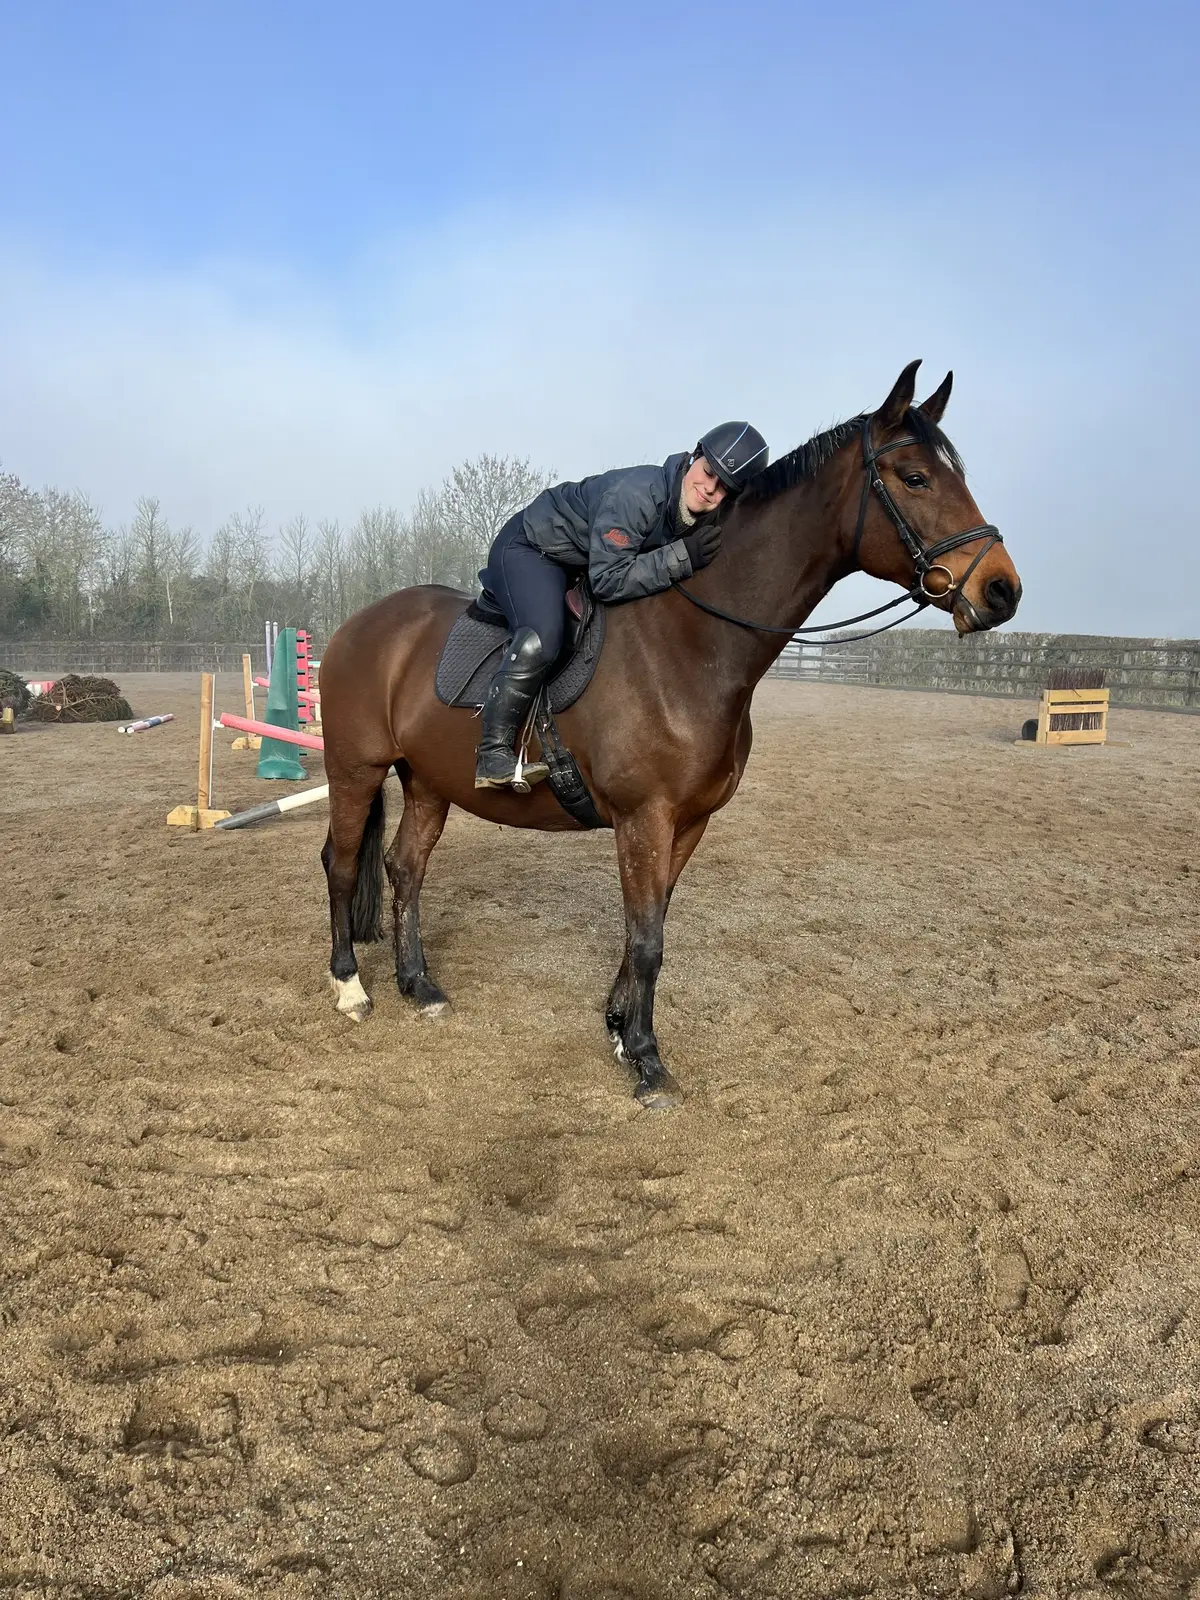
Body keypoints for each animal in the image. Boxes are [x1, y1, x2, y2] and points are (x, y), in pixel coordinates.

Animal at [316, 363, 1024, 1107]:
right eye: (915, 477)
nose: (1003, 590)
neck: (692, 645)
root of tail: (361, 624)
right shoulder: (643, 819)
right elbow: (647, 939)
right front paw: (650, 1062)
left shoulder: (687, 822)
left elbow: (647, 930)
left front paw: (621, 1031)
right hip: (356, 769)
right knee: (342, 865)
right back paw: (351, 986)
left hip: (428, 780)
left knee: (404, 868)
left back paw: (418, 983)